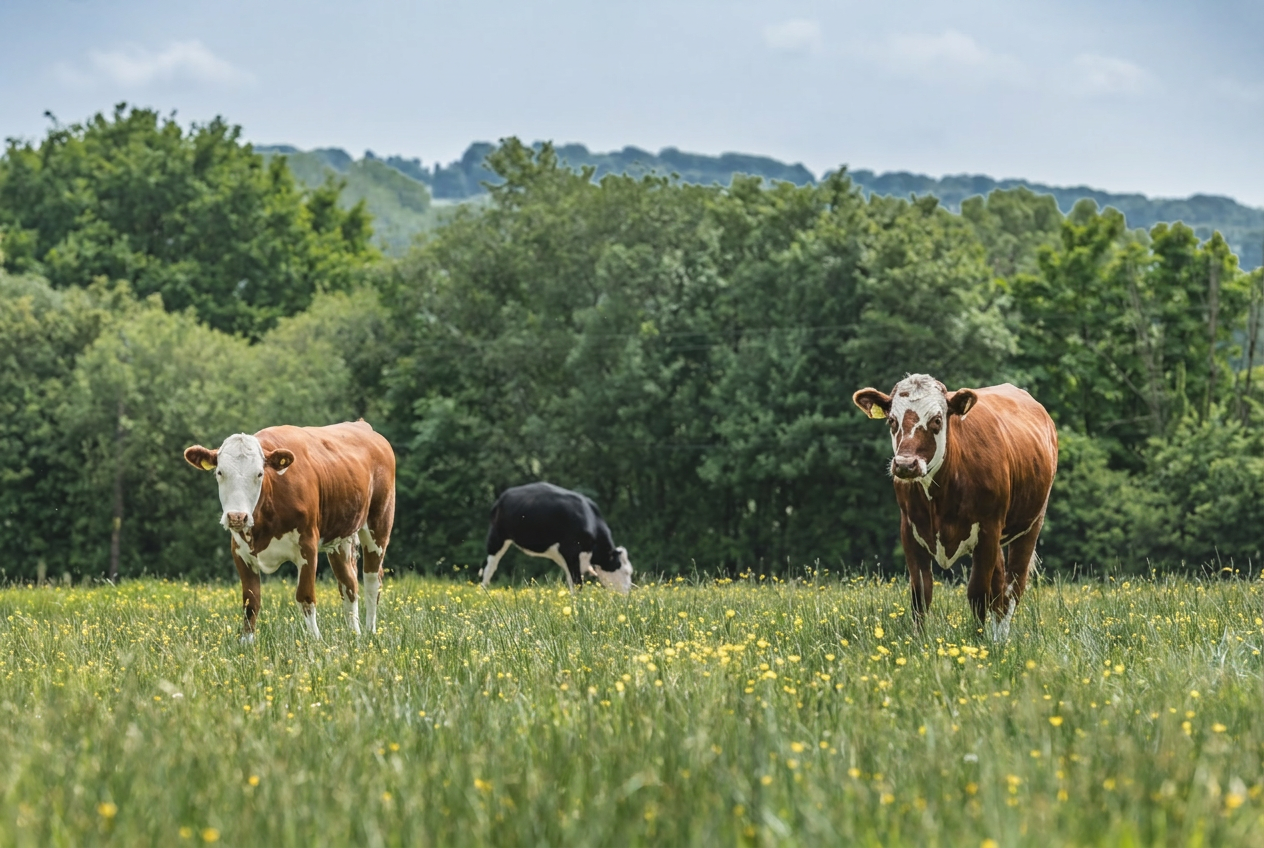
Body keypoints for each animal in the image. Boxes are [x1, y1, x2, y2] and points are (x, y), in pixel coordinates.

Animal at [183, 421, 395, 642]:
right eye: (220, 473)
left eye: (259, 474)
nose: (236, 517)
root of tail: (362, 425)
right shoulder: (240, 551)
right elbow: (251, 601)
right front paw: (246, 643)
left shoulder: (308, 546)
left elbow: (306, 596)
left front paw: (315, 641)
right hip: (340, 538)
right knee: (349, 584)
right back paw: (355, 633)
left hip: (379, 523)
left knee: (372, 580)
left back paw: (370, 631)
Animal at [479, 482, 633, 593]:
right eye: (626, 572)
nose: (627, 595)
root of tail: (502, 497)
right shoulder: (571, 551)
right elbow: (577, 583)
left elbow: (572, 582)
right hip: (497, 538)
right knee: (488, 567)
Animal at [852, 374, 1057, 639]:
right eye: (891, 420)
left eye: (937, 420)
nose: (905, 464)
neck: (939, 498)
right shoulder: (909, 531)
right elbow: (921, 594)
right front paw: (919, 640)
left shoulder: (988, 530)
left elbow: (978, 593)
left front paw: (978, 641)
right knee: (999, 586)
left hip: (1031, 524)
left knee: (1012, 587)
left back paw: (1000, 638)